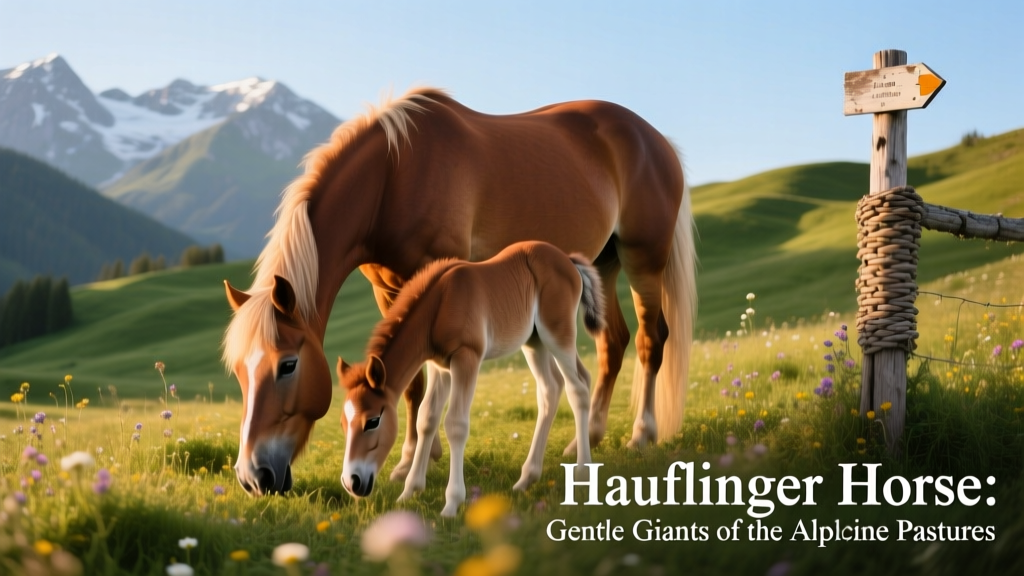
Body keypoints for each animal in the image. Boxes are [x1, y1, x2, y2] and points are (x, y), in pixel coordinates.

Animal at [337, 241, 605, 516]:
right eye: (343, 423)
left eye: (372, 421)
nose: (351, 482)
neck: (439, 304)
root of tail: (568, 260)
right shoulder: (440, 367)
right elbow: (426, 418)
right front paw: (408, 492)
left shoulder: (467, 358)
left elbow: (456, 424)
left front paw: (451, 504)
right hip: (534, 341)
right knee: (552, 388)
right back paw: (526, 479)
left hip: (557, 334)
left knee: (577, 388)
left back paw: (582, 474)